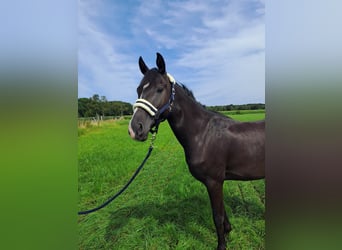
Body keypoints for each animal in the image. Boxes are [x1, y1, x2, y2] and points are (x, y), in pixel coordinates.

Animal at [128, 52, 264, 250]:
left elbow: (217, 216)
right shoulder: (218, 182)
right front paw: (228, 232)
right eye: (139, 89)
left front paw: (221, 245)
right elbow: (222, 211)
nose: (135, 129)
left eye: (160, 88)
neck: (203, 133)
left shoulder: (214, 182)